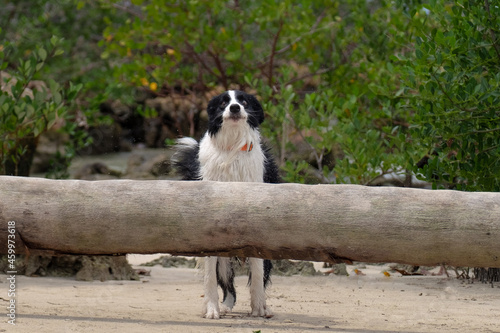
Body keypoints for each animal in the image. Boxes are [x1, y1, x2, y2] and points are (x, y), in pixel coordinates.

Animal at [174, 89, 280, 318]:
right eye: (224, 102)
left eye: (244, 101)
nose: (234, 107)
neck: (232, 145)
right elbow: (210, 276)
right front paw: (212, 309)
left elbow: (257, 271)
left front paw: (259, 307)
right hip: (224, 260)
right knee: (226, 283)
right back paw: (224, 305)